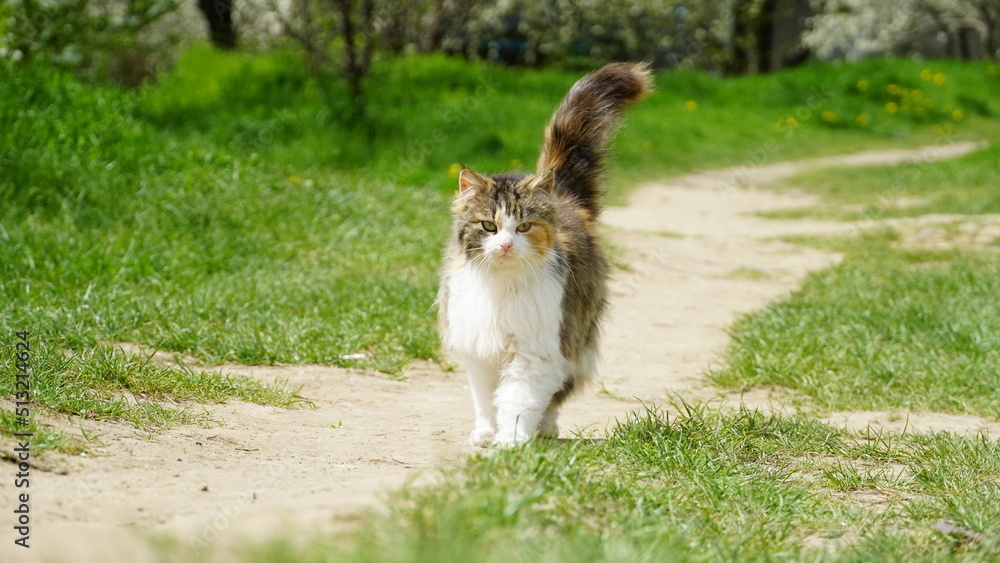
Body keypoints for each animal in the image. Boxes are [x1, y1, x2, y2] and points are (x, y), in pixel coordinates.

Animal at [436, 62, 652, 450]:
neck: (502, 288)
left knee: (556, 396)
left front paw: (510, 442)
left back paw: (545, 428)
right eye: (489, 226)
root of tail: (561, 196)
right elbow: (486, 399)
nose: (506, 245)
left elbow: (517, 400)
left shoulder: (537, 351)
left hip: (576, 338)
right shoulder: (480, 350)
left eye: (523, 227)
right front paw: (487, 432)